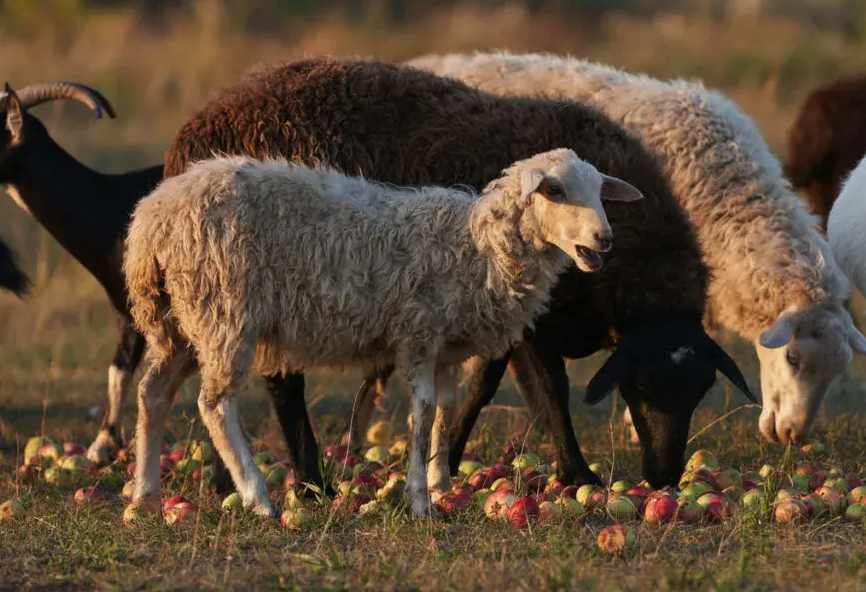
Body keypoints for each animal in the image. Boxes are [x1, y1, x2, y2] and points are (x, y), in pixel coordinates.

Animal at [125, 149, 644, 520]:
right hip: (224, 309)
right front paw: (420, 499)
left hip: (181, 318)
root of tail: (151, 217)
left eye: (601, 191)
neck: (477, 245)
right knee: (214, 405)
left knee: (153, 392)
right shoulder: (418, 334)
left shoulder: (447, 348)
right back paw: (257, 497)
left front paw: (440, 483)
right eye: (554, 189)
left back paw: (145, 496)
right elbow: (423, 412)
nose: (604, 240)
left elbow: (445, 411)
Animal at [159, 55, 752, 492]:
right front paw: (575, 472)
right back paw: (309, 483)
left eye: (702, 389)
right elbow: (550, 389)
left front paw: (451, 458)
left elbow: (487, 384)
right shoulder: (536, 314)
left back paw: (231, 480)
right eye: (642, 384)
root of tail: (193, 137)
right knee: (282, 383)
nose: (664, 478)